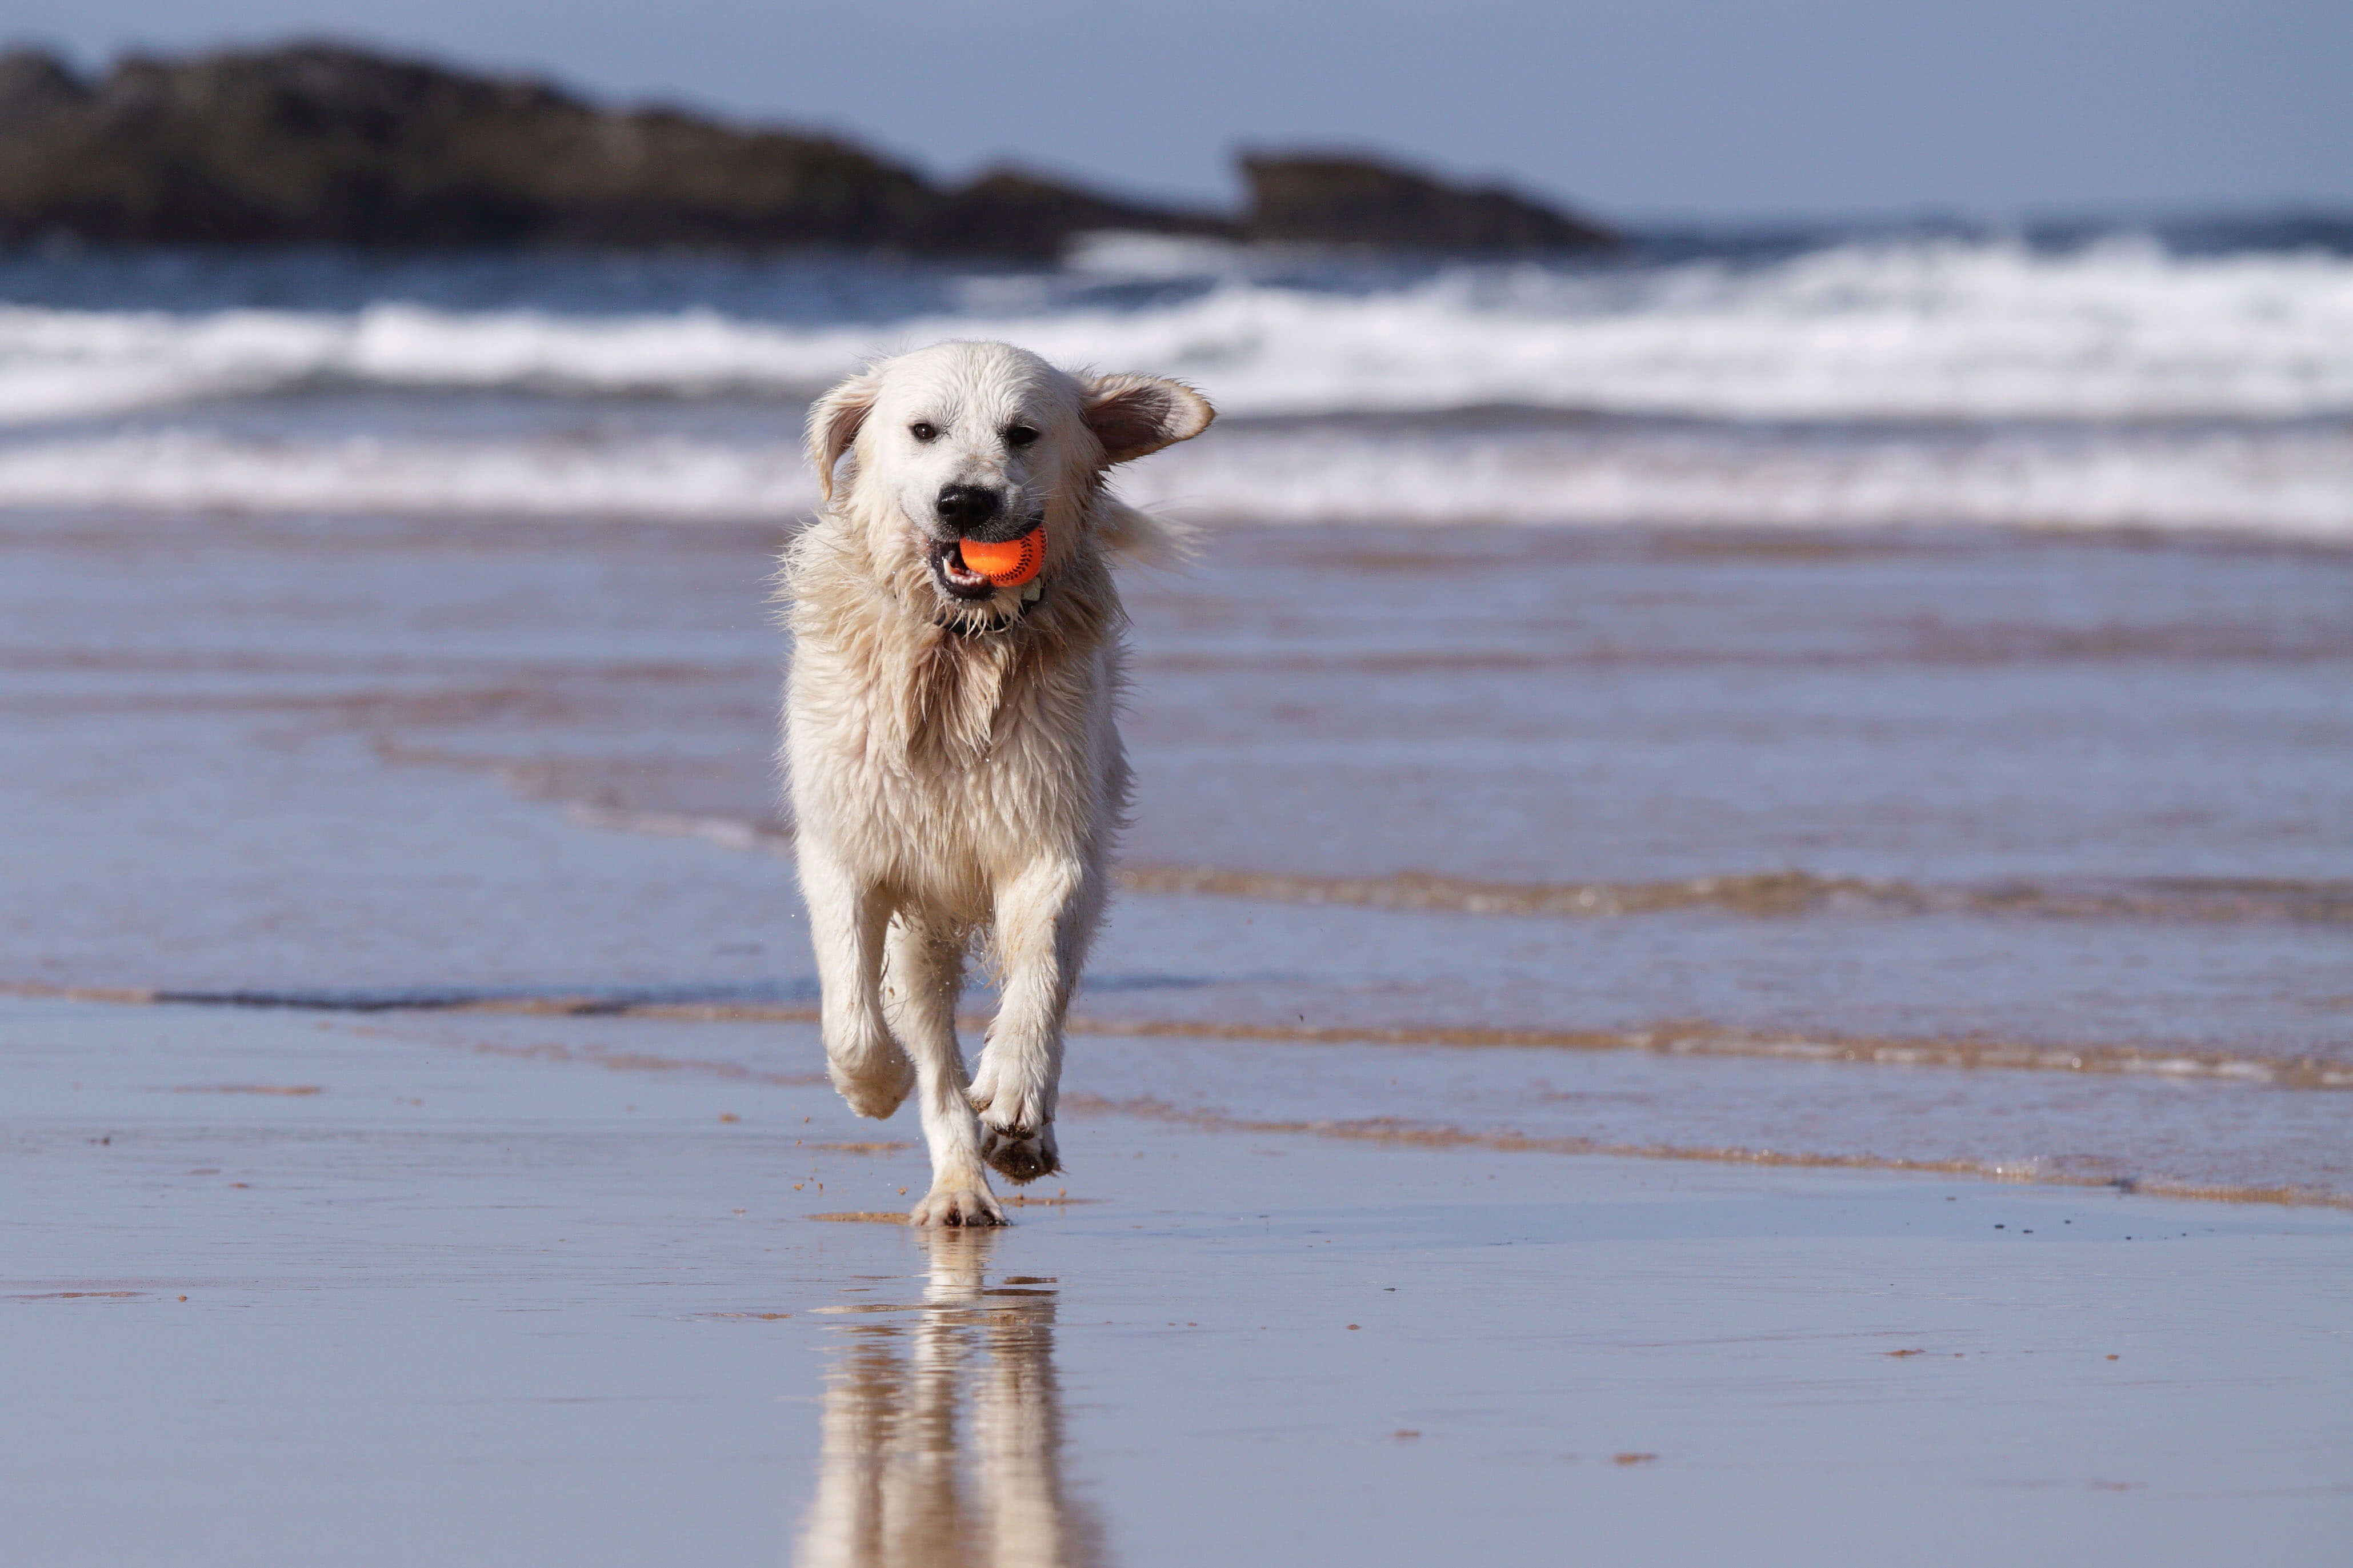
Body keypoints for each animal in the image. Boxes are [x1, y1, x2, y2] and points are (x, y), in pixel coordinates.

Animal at [781, 340, 1214, 1222]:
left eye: (1022, 433)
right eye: (923, 430)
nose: (965, 502)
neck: (958, 647)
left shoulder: (1049, 837)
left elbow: (1038, 971)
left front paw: (1014, 1093)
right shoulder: (848, 843)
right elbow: (852, 1008)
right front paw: (871, 1086)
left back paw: (1019, 1139)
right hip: (921, 933)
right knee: (932, 1053)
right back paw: (957, 1190)